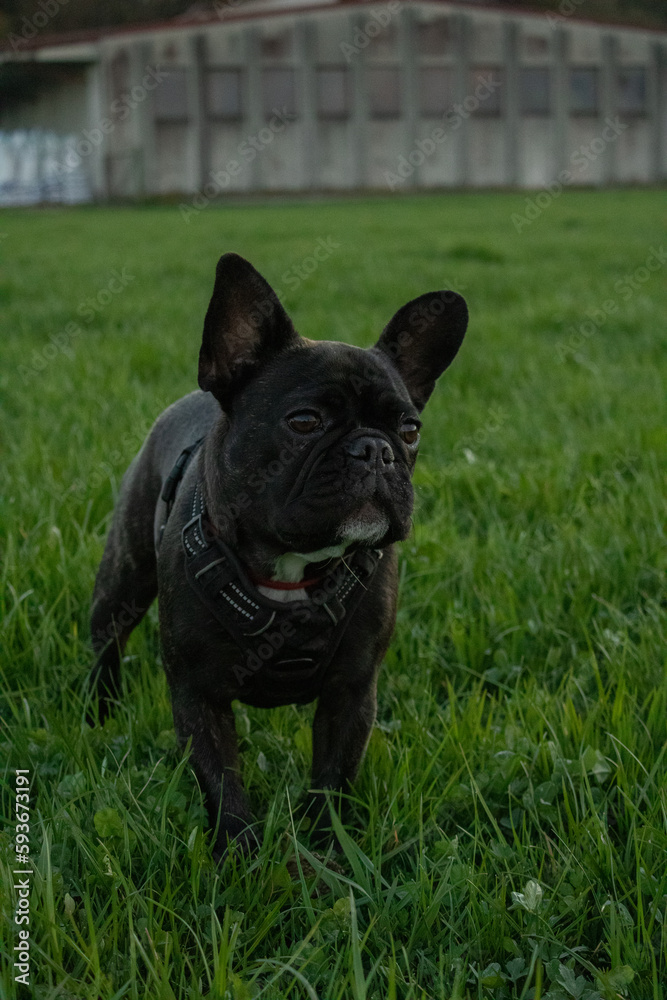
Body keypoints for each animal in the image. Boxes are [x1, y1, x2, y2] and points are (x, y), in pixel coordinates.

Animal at [90, 254, 470, 856]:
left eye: (410, 430)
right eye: (304, 422)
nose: (376, 450)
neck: (292, 568)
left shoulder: (352, 693)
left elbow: (333, 779)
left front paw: (325, 850)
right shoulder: (198, 696)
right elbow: (221, 782)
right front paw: (240, 855)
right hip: (125, 575)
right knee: (106, 635)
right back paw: (98, 712)